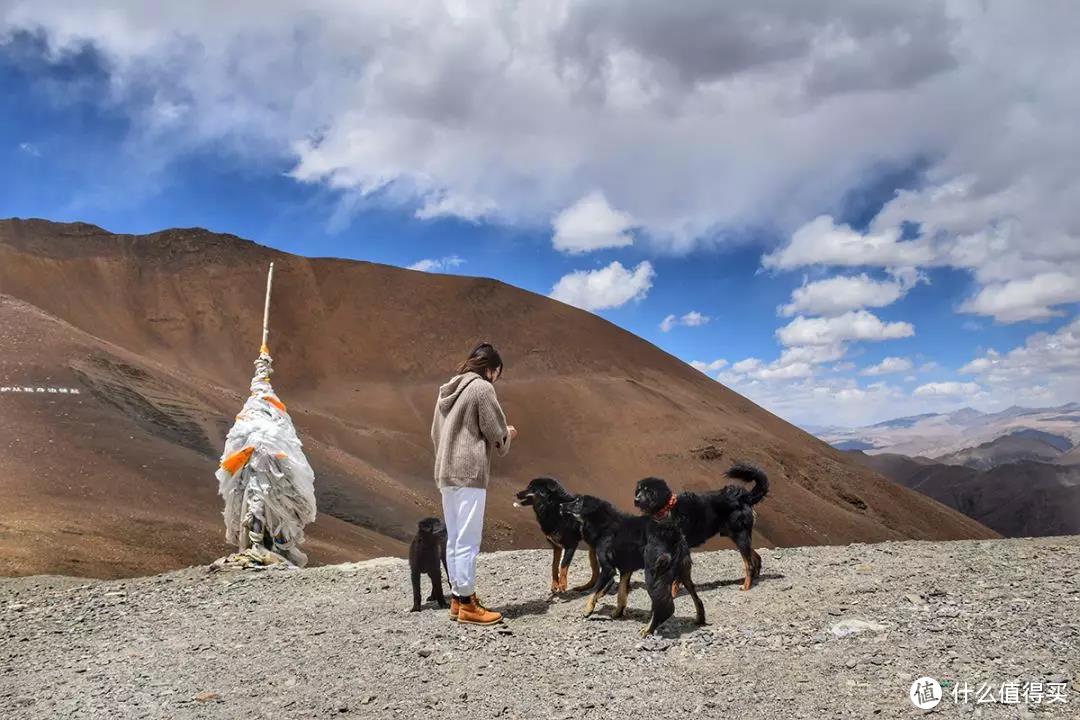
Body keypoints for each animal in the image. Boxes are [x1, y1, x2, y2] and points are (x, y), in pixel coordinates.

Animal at [557, 496, 708, 634]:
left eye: (577, 502)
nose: (560, 505)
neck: (603, 523)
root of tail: (673, 534)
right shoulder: (626, 570)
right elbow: (621, 593)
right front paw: (617, 613)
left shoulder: (608, 569)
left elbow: (594, 590)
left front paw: (588, 610)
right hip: (684, 573)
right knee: (698, 600)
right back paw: (699, 619)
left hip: (653, 574)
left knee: (665, 607)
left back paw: (648, 630)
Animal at [630, 464, 768, 595]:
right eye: (639, 490)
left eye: (649, 491)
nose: (636, 500)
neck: (666, 510)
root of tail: (745, 497)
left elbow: (676, 577)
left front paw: (673, 594)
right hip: (735, 534)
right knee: (755, 556)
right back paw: (755, 577)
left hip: (739, 535)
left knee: (749, 564)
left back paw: (746, 586)